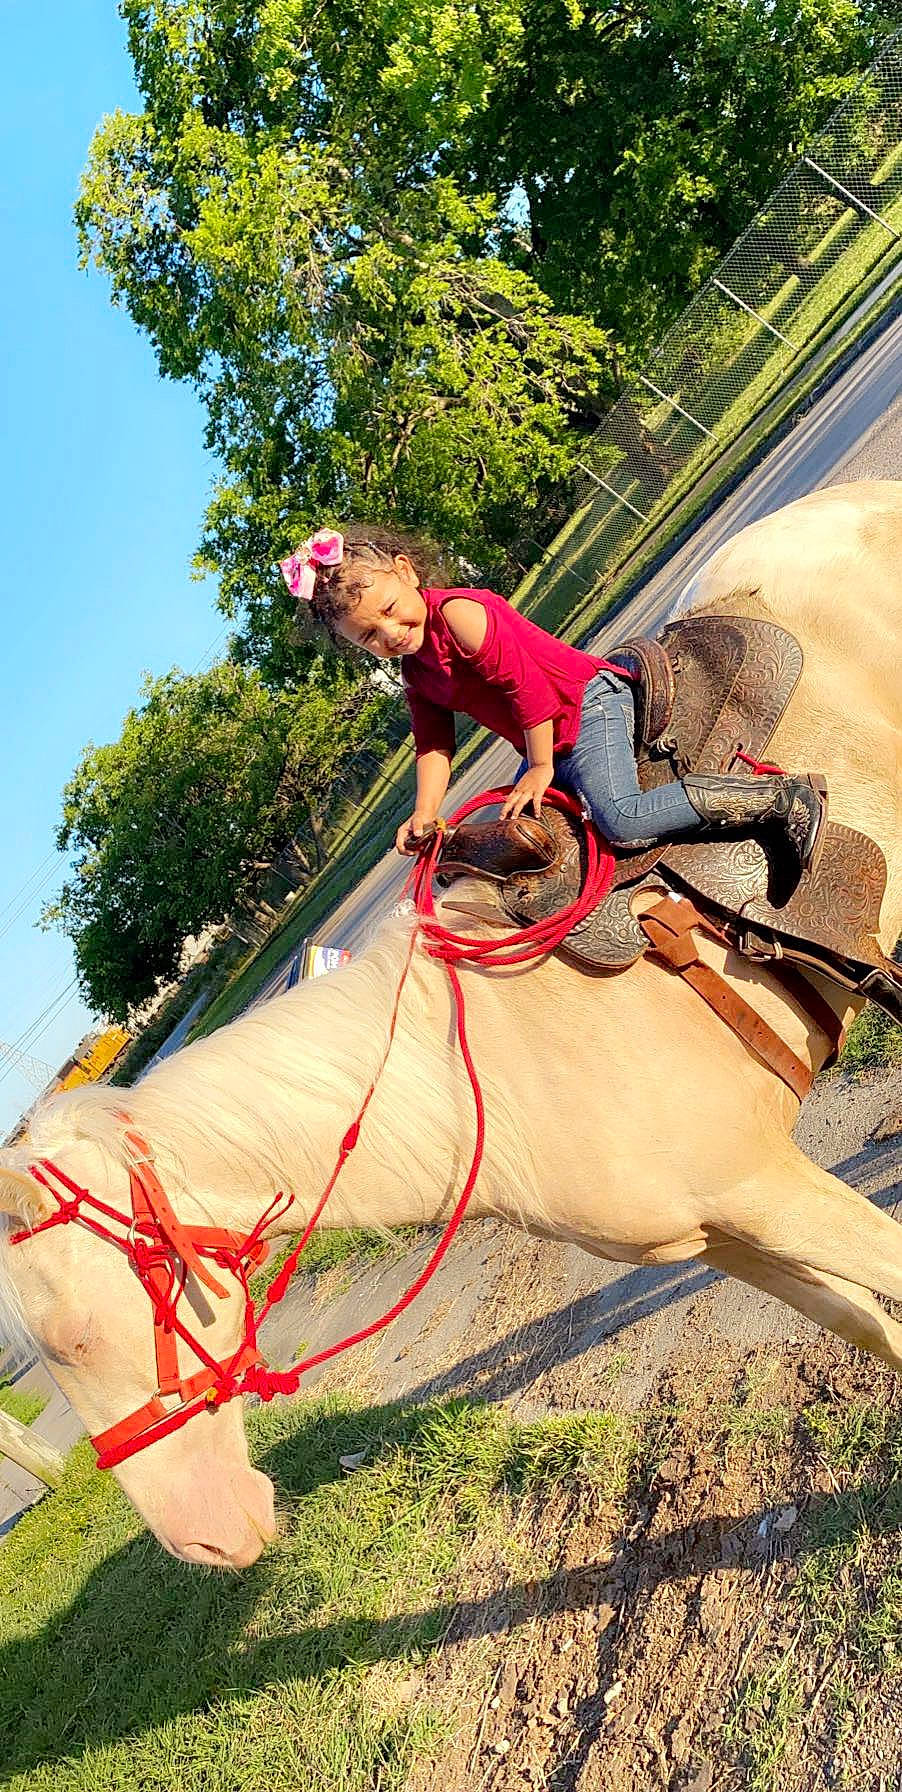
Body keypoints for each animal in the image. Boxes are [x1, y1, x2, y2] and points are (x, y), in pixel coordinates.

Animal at [1, 479, 901, 1571]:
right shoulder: (729, 1231)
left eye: (73, 1340)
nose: (203, 1542)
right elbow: (870, 1327)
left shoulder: (767, 1189)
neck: (487, 1076)